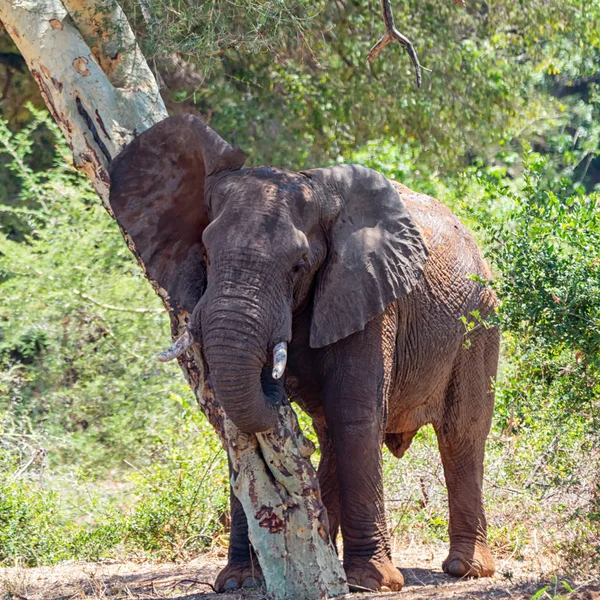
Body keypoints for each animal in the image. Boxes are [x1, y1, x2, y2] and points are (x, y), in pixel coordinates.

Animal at [108, 115, 496, 592]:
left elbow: (356, 415)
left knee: (462, 433)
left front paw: (372, 582)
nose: (278, 388)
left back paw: (467, 569)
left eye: (298, 265)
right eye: (207, 255)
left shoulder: (370, 294)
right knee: (329, 434)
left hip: (480, 322)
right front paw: (237, 582)